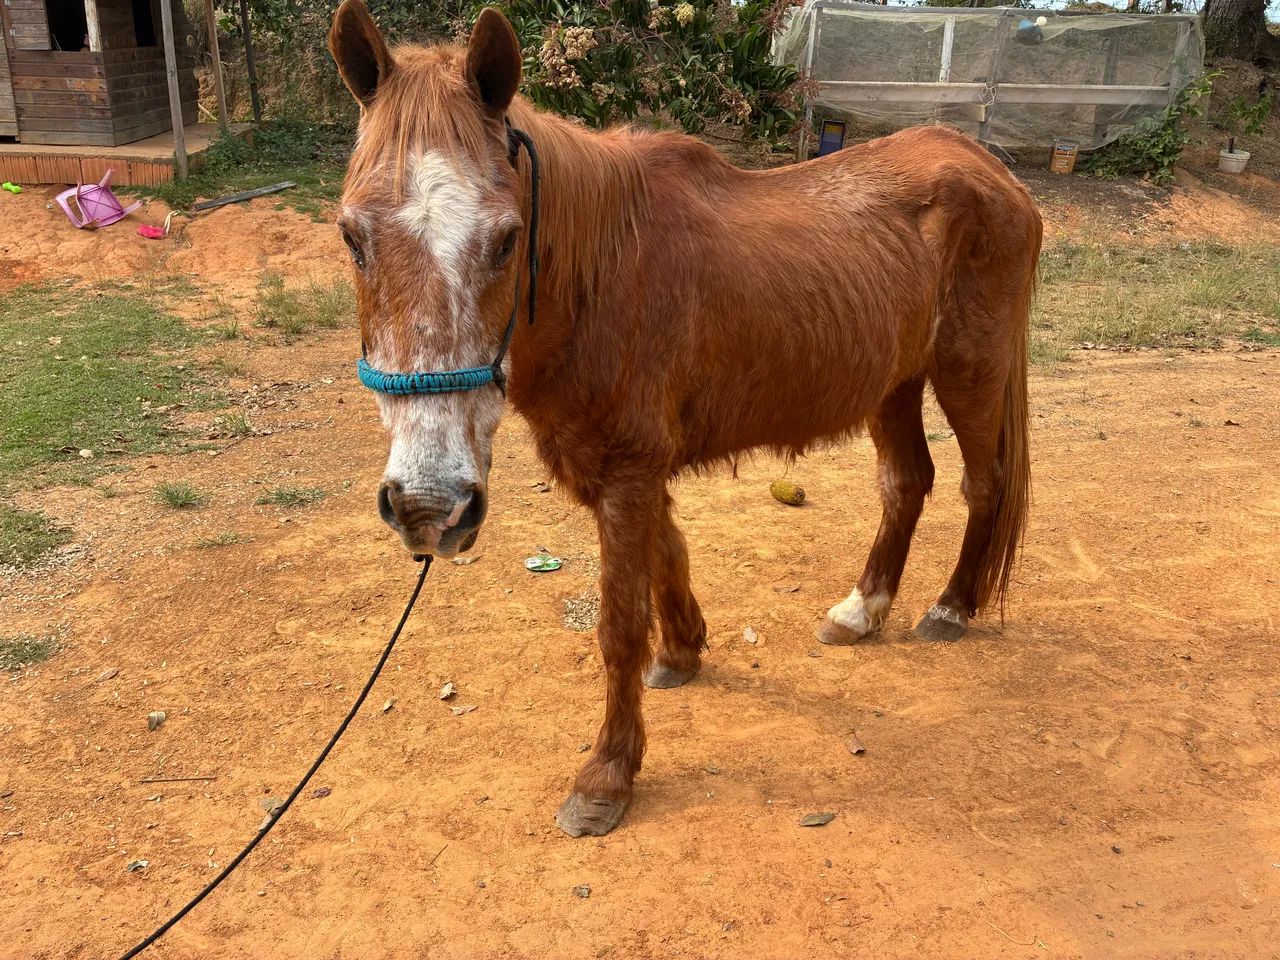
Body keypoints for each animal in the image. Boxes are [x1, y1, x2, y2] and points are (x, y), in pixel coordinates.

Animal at [328, 1, 1042, 837]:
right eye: (351, 236)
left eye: (506, 239)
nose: (428, 507)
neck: (605, 270)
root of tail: (992, 169)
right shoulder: (622, 466)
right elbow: (668, 553)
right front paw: (684, 653)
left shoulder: (630, 467)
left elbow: (618, 624)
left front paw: (607, 775)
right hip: (893, 383)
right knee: (906, 483)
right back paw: (862, 610)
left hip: (970, 373)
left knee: (984, 483)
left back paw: (952, 607)